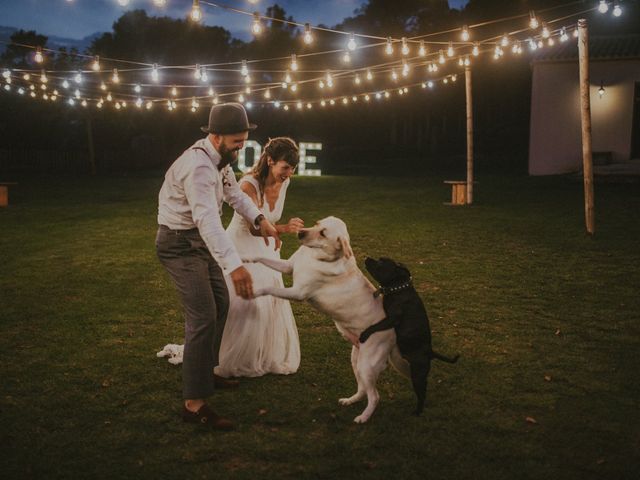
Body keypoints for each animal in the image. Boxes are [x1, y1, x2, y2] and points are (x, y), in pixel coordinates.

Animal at [248, 216, 408, 422]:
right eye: (317, 223)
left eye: (323, 233)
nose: (300, 232)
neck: (317, 257)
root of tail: (393, 334)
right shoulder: (288, 267)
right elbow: (263, 258)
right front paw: (245, 259)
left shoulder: (297, 292)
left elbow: (268, 288)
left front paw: (253, 291)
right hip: (356, 361)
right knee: (363, 389)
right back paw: (349, 401)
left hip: (367, 365)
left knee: (375, 396)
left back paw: (363, 417)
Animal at [360, 256, 460, 414]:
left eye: (381, 262)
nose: (367, 258)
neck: (398, 289)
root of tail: (430, 352)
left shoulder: (392, 319)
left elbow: (376, 325)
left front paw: (365, 334)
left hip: (418, 375)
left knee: (422, 393)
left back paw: (417, 412)